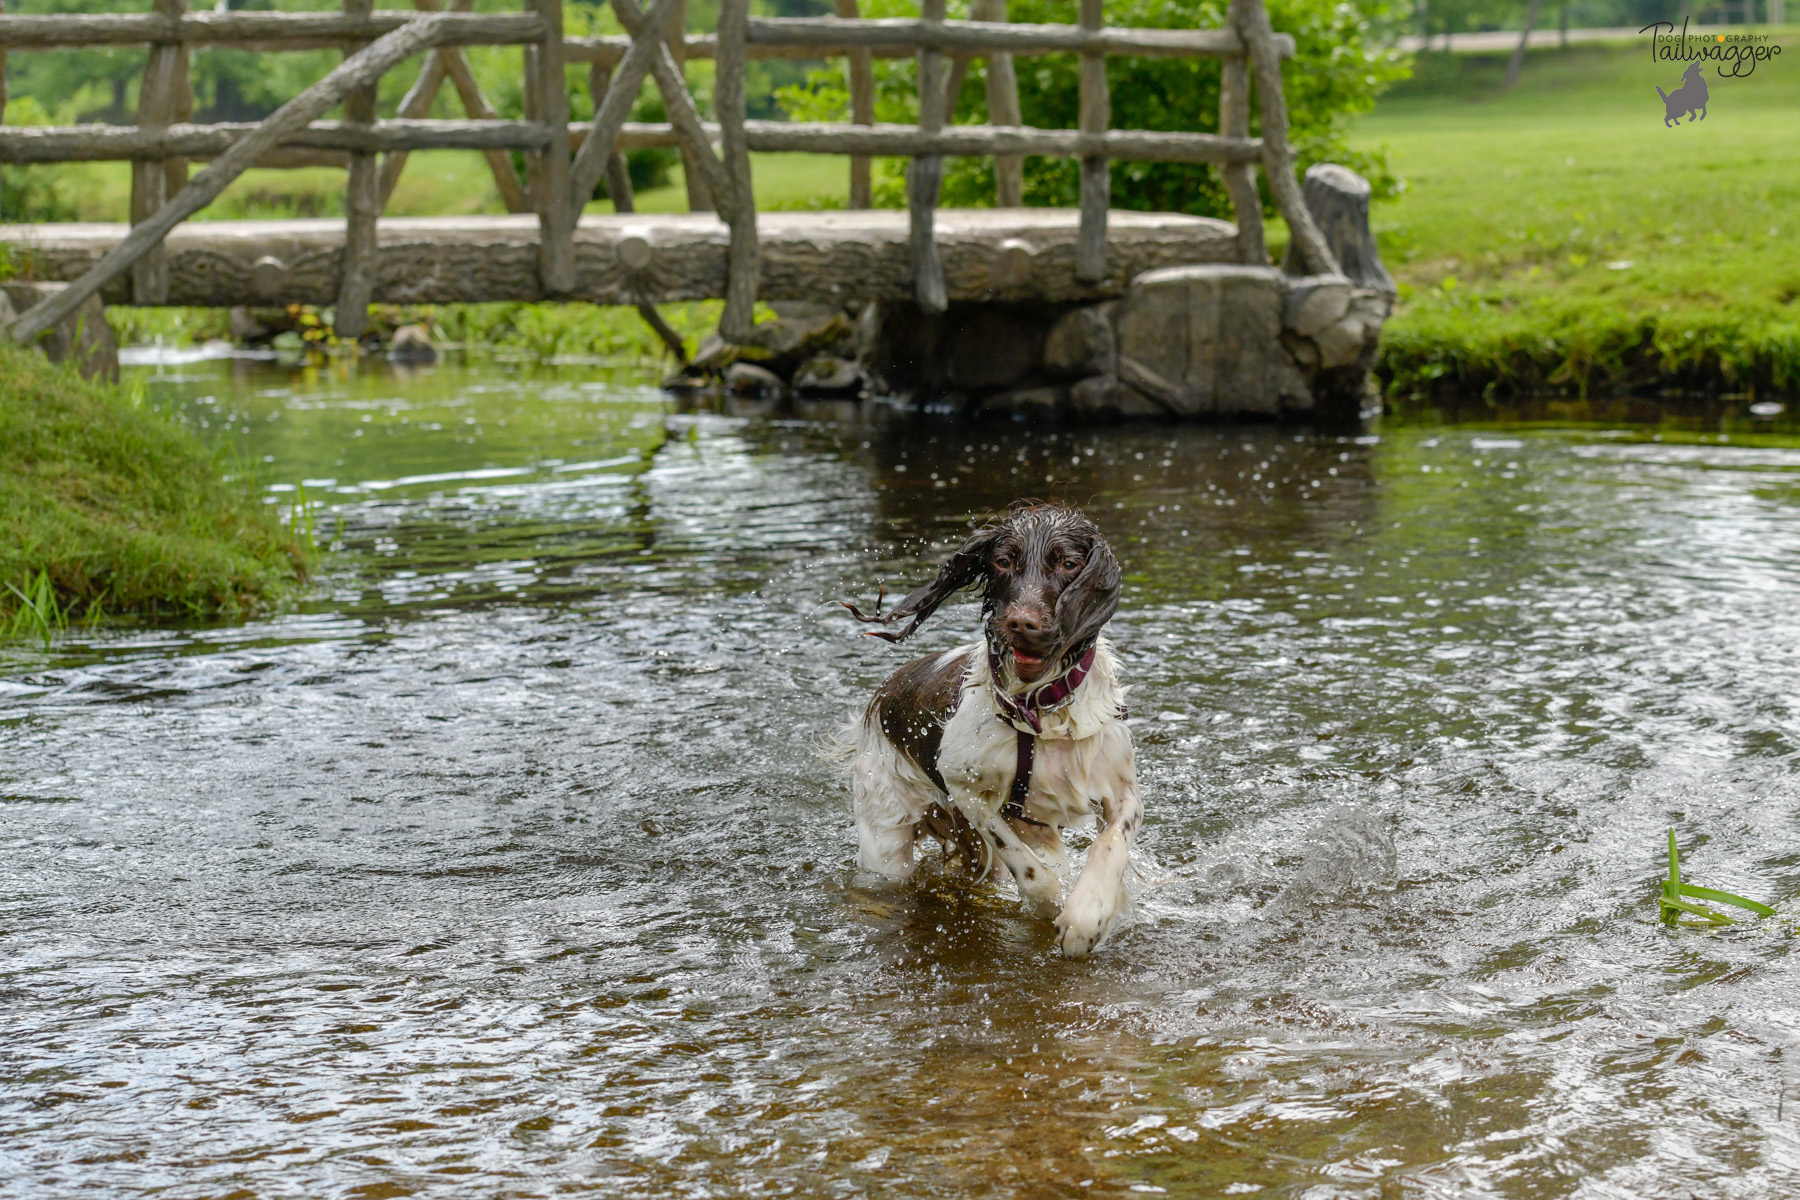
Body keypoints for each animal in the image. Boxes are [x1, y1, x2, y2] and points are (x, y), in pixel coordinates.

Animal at [842, 503, 1137, 949]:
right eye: (1003, 561)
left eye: (1068, 564)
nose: (1022, 623)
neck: (1039, 709)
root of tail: (882, 693)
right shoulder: (965, 789)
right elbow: (1031, 871)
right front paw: (1052, 905)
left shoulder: (1122, 790)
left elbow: (1110, 845)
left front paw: (1087, 916)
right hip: (886, 839)